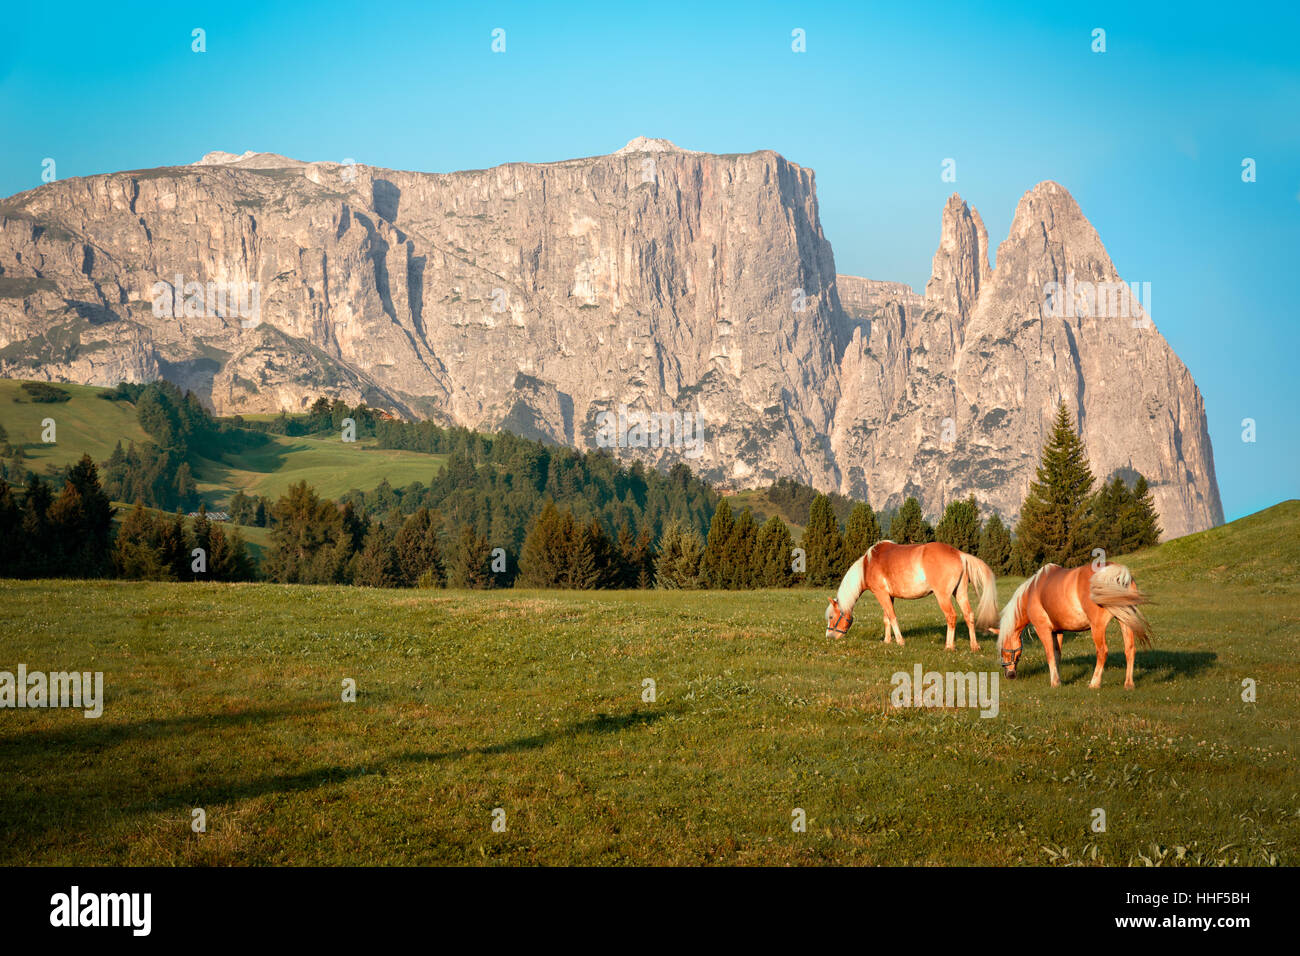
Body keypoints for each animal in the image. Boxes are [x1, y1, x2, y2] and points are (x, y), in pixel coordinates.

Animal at [826, 541, 998, 655]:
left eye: (831, 617)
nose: (829, 637)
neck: (868, 565)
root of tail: (960, 554)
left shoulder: (881, 594)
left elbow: (892, 617)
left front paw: (900, 641)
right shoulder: (889, 596)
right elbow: (886, 618)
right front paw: (887, 641)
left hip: (943, 596)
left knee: (951, 616)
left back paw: (949, 646)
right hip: (960, 593)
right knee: (969, 615)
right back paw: (974, 646)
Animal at [998, 561, 1154, 686]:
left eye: (1002, 650)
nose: (1009, 675)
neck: (1033, 591)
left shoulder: (1043, 629)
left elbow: (1049, 654)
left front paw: (1054, 682)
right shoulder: (1057, 631)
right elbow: (1057, 655)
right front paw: (1059, 680)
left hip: (1098, 627)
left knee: (1102, 651)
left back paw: (1094, 684)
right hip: (1124, 621)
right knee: (1130, 649)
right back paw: (1129, 684)